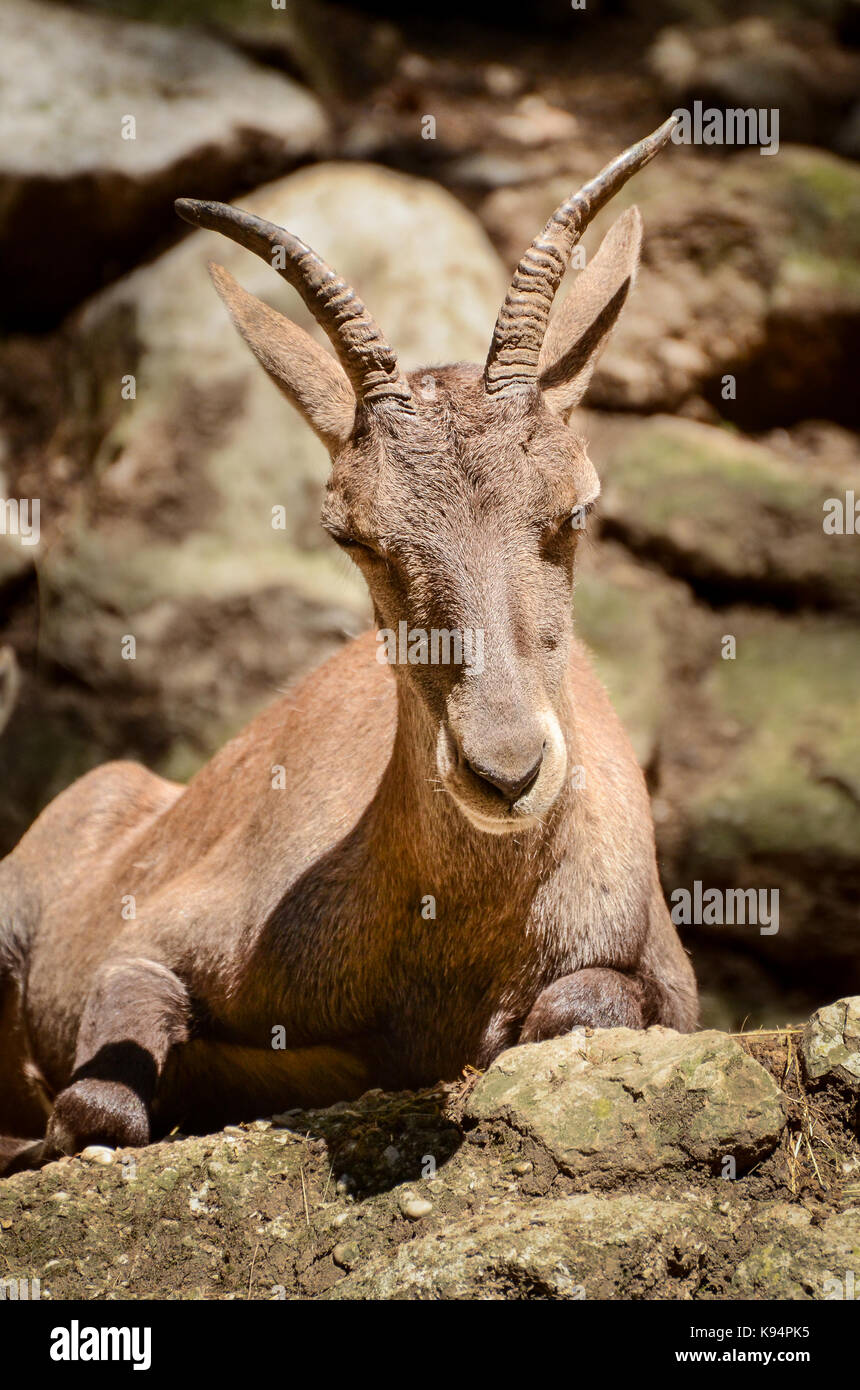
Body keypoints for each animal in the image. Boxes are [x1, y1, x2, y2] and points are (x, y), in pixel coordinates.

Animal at [0, 125, 697, 1178]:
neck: (444, 942)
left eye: (575, 506)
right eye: (355, 535)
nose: (505, 771)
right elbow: (104, 1098)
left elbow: (580, 1008)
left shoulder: (654, 974)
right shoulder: (158, 934)